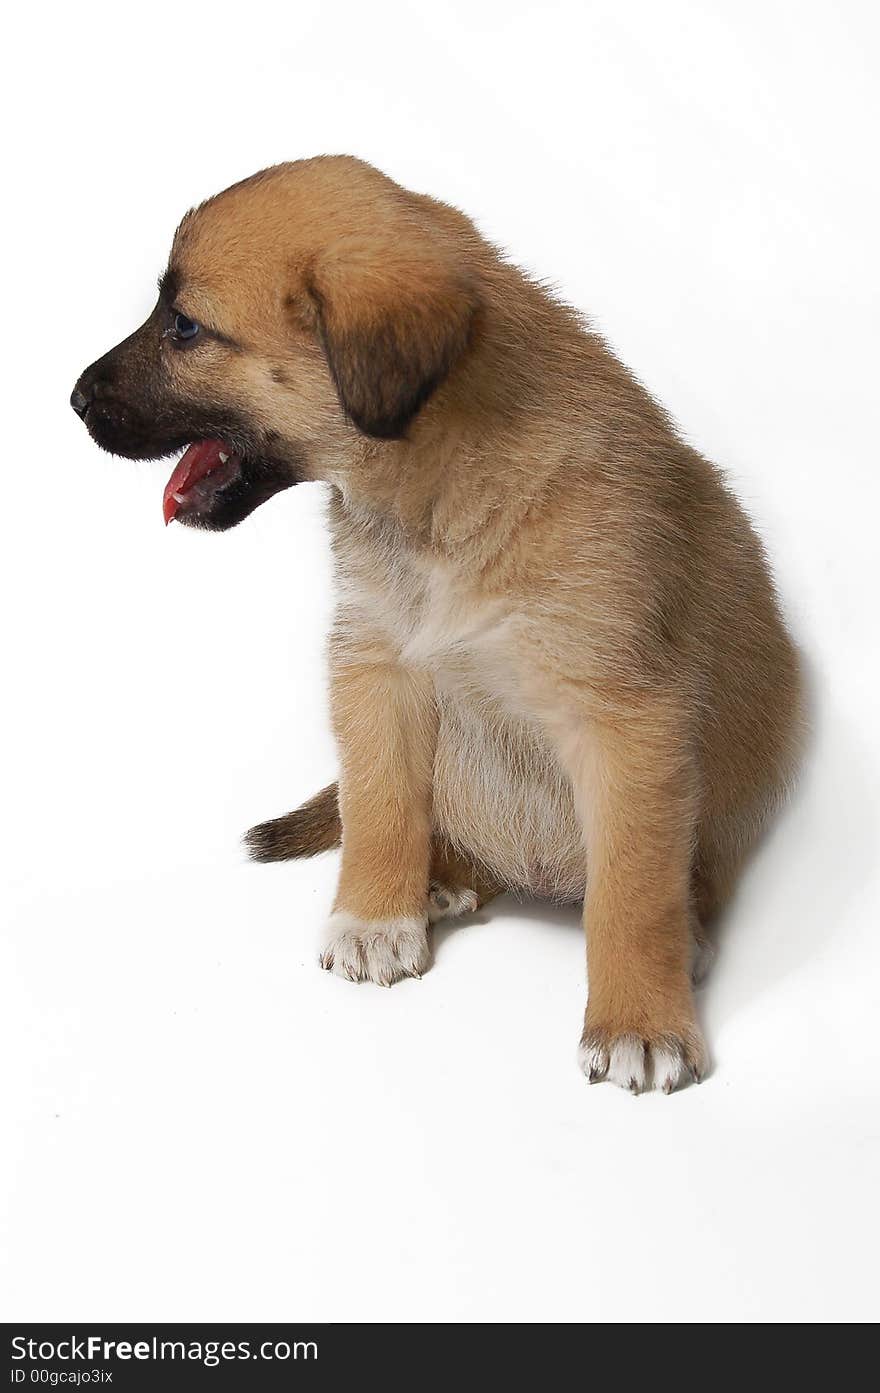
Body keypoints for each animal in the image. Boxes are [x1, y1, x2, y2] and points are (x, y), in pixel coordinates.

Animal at [72, 158, 802, 1092]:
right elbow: (379, 805)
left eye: (186, 326)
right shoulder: (379, 664)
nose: (72, 398)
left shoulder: (626, 715)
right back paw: (442, 879)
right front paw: (374, 917)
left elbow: (633, 893)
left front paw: (640, 1020)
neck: (438, 495)